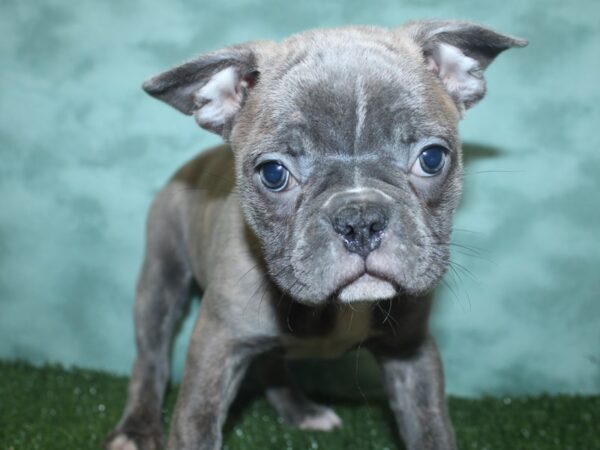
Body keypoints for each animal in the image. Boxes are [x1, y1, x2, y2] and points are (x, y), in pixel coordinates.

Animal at [106, 19, 524, 448]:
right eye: (274, 174)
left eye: (432, 158)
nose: (360, 220)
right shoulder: (217, 344)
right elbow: (195, 423)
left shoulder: (411, 349)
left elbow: (430, 426)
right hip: (161, 279)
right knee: (151, 357)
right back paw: (136, 429)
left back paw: (300, 410)